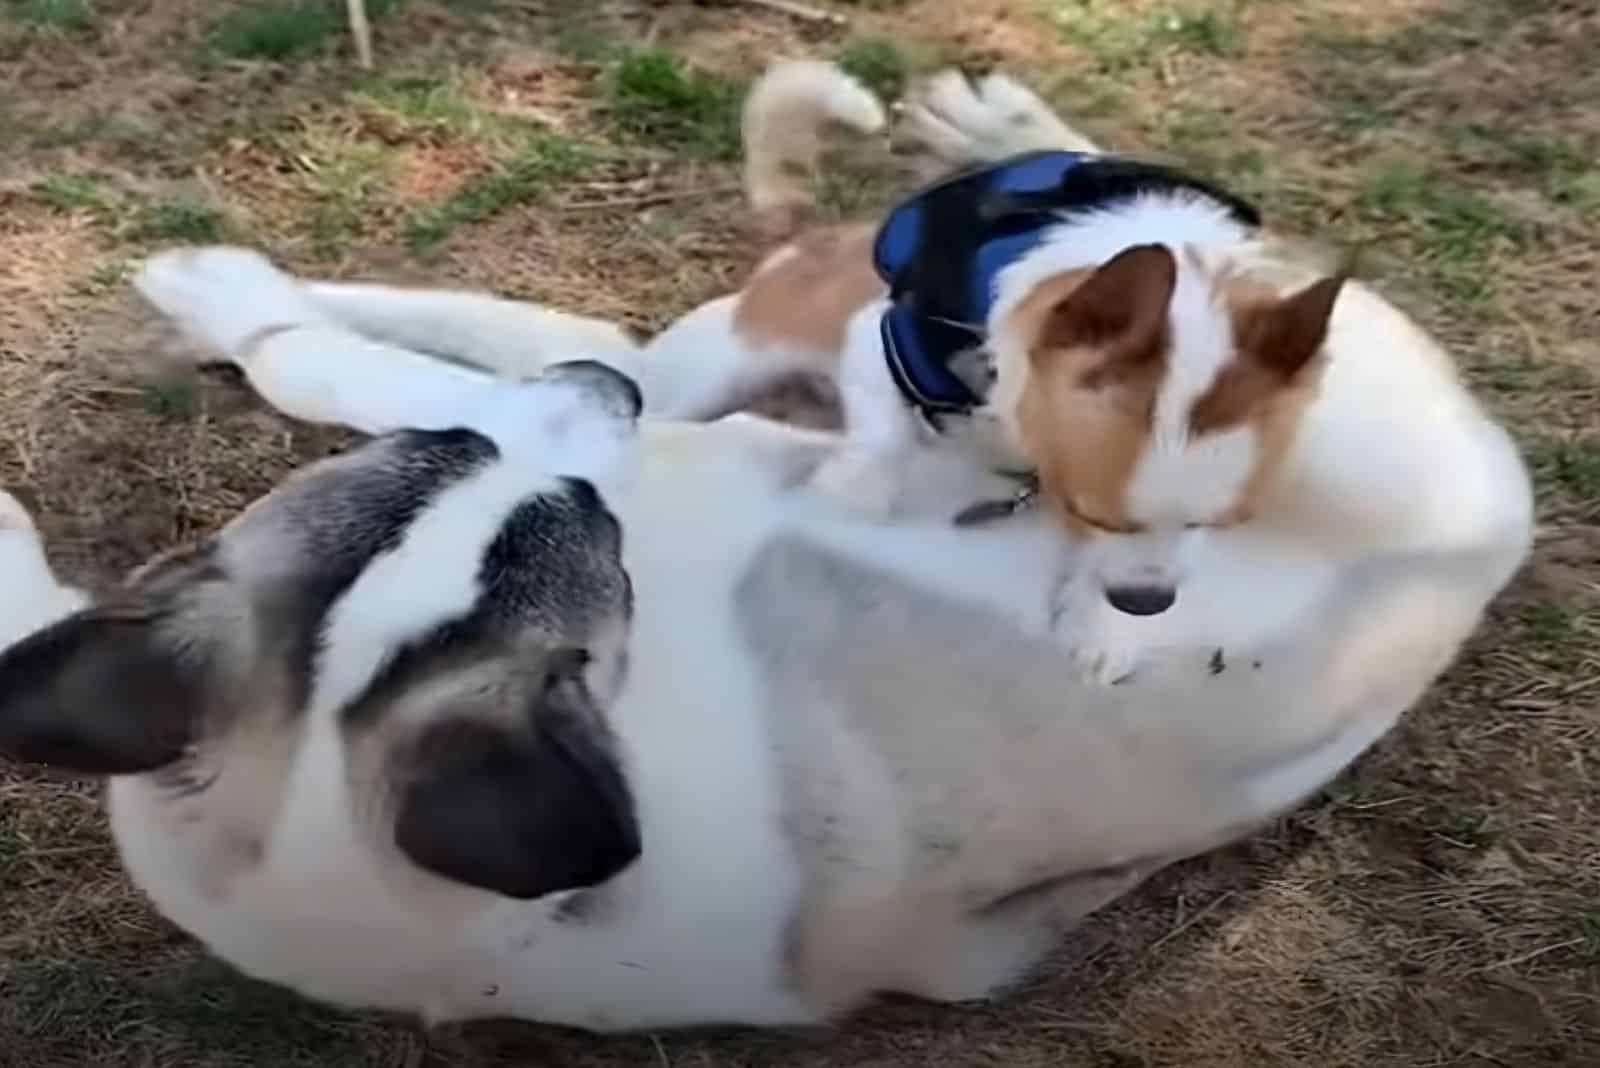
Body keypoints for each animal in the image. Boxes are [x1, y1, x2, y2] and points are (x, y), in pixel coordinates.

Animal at [0, 66, 1529, 1036]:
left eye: (457, 468)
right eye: (584, 536)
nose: (589, 417)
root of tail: (1495, 533)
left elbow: (339, 371)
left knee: (1183, 246)